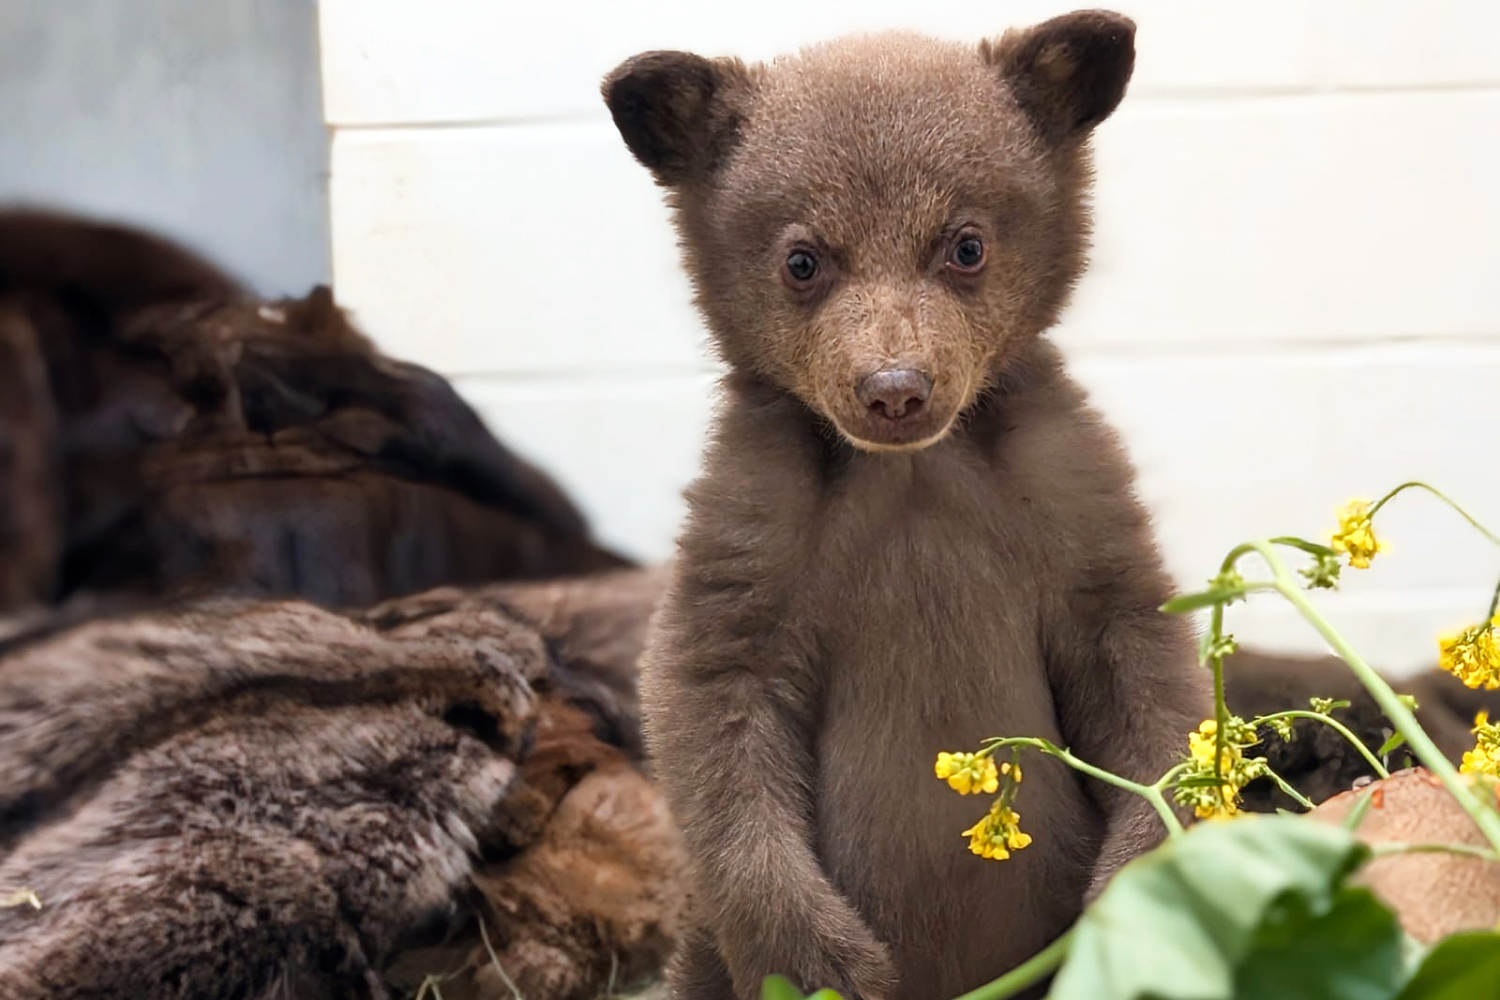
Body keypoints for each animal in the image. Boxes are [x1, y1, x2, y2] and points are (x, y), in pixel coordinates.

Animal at [603, 11, 1209, 999]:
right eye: (802, 260)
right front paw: (824, 960)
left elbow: (1145, 673)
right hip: (698, 955)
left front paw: (1128, 901)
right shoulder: (751, 526)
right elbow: (708, 707)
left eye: (965, 245)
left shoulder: (1074, 495)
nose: (894, 390)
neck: (911, 472)